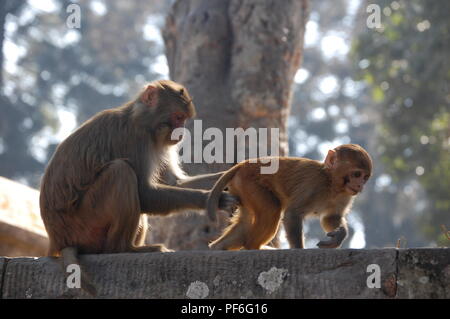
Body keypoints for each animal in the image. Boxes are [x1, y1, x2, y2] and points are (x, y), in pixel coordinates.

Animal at [41, 80, 239, 296]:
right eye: (178, 117)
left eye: (184, 119)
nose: (181, 133)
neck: (143, 121)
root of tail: (59, 241)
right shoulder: (135, 139)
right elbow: (145, 194)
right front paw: (214, 200)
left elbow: (174, 184)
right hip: (84, 225)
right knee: (122, 172)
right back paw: (124, 249)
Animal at [207, 144, 372, 251]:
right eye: (356, 174)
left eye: (365, 177)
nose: (360, 185)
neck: (331, 183)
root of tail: (242, 164)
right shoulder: (313, 184)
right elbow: (293, 213)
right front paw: (298, 250)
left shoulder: (345, 195)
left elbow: (331, 218)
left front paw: (338, 236)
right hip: (251, 183)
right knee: (272, 209)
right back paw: (253, 246)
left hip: (242, 186)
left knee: (248, 219)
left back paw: (218, 247)